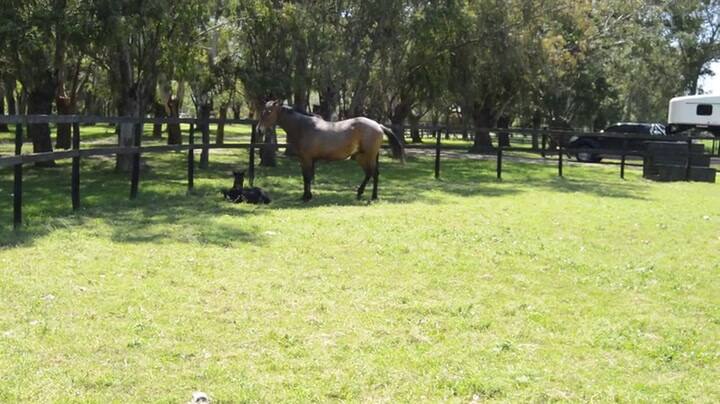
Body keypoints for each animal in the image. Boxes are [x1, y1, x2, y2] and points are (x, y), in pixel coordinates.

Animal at [256, 100, 405, 202]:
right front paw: (307, 196)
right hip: (361, 157)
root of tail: (378, 125)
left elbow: (307, 177)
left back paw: (371, 196)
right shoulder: (305, 160)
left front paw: (306, 197)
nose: (259, 129)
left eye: (268, 112)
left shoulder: (306, 159)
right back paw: (361, 193)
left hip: (368, 156)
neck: (304, 127)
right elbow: (307, 177)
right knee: (369, 174)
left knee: (374, 174)